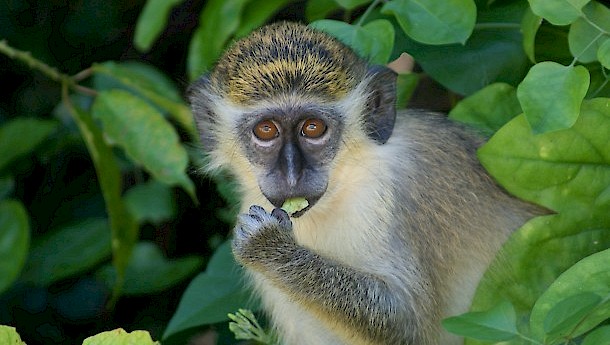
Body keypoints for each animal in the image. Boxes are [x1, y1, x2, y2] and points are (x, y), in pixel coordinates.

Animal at [188, 22, 540, 344]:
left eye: (313, 128)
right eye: (266, 130)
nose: (291, 175)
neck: (345, 181)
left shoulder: (387, 197)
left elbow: (408, 325)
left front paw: (270, 247)